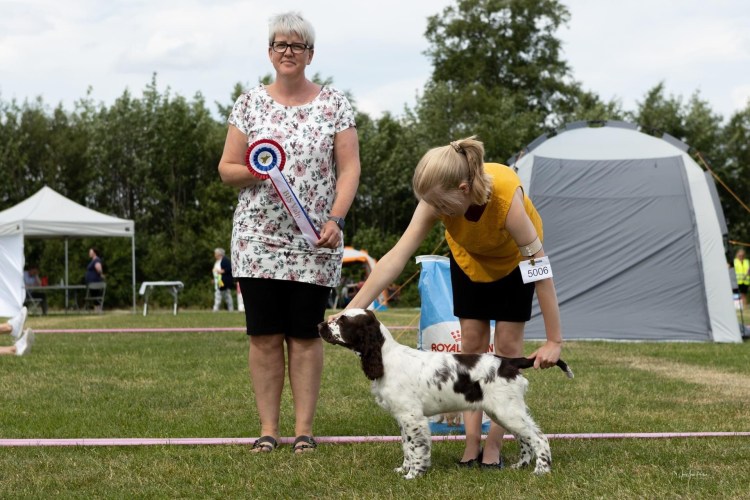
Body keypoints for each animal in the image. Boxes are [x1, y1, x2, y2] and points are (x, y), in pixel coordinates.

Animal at [318, 308, 574, 479]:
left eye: (342, 321)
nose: (319, 325)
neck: (385, 357)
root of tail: (508, 362)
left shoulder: (412, 417)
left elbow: (415, 447)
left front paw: (413, 475)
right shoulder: (403, 417)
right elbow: (405, 446)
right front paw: (403, 469)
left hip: (507, 410)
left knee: (538, 437)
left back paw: (541, 470)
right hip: (503, 412)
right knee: (525, 439)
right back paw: (520, 466)